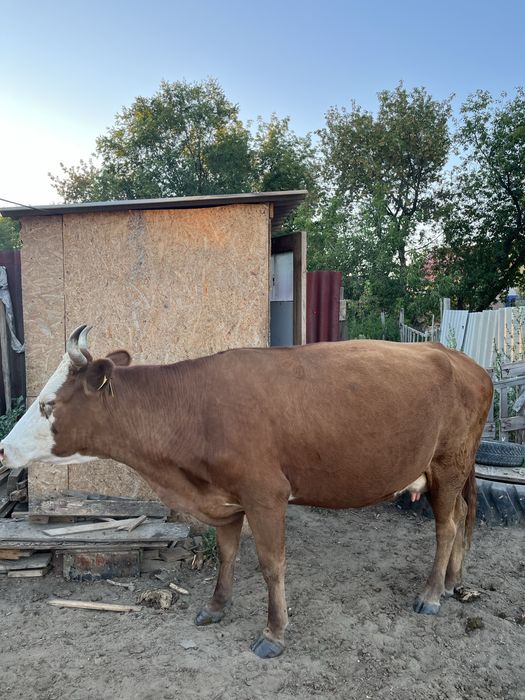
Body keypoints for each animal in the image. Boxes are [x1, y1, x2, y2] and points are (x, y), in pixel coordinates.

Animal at [0, 325, 493, 658]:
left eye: (47, 404)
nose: (3, 447)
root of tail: (459, 358)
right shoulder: (225, 498)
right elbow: (227, 554)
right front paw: (215, 608)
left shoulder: (265, 494)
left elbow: (271, 565)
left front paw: (274, 633)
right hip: (450, 469)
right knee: (462, 516)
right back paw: (453, 582)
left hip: (447, 464)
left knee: (447, 526)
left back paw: (432, 595)